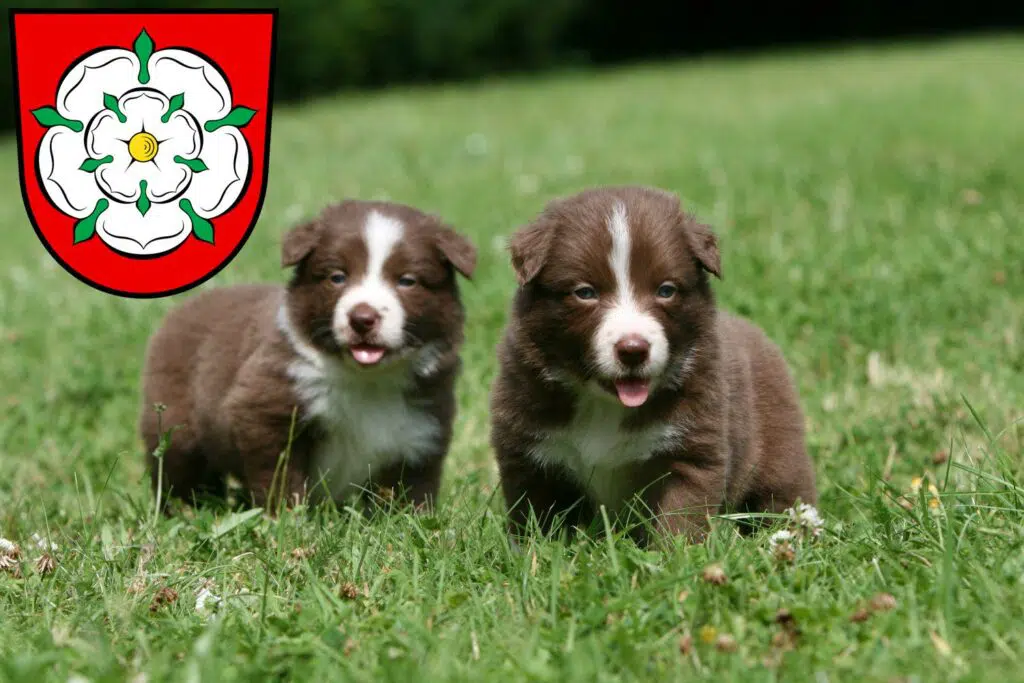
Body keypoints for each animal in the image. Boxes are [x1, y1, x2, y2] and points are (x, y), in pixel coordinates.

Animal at [138, 200, 477, 509]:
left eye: (407, 281)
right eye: (337, 277)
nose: (362, 318)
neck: (366, 381)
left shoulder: (422, 428)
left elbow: (412, 489)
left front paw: (411, 521)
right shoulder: (266, 412)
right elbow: (280, 477)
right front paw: (286, 520)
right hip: (176, 424)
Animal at [491, 187, 819, 544]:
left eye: (666, 290)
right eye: (585, 292)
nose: (633, 350)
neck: (604, 406)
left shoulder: (689, 452)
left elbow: (678, 519)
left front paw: (674, 554)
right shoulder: (529, 452)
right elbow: (534, 519)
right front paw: (533, 550)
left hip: (780, 453)